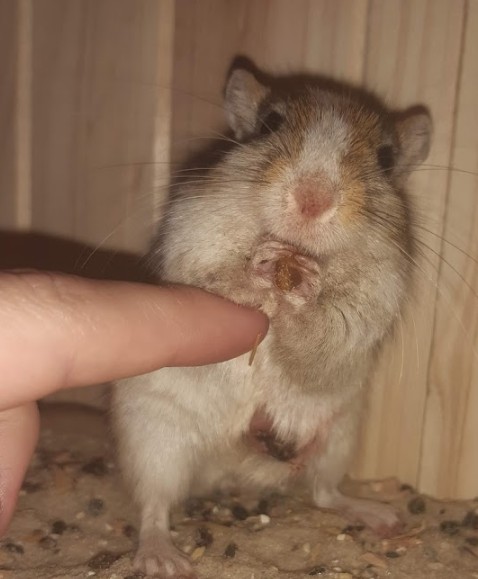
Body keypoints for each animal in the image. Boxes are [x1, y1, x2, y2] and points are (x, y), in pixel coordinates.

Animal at [111, 64, 432, 578]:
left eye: (385, 158)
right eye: (269, 124)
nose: (312, 201)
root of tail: (227, 468)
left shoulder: (365, 311)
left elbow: (321, 333)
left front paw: (305, 287)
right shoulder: (191, 248)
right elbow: (219, 278)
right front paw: (261, 268)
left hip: (338, 438)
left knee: (325, 494)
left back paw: (381, 516)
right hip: (155, 438)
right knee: (154, 507)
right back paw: (162, 558)